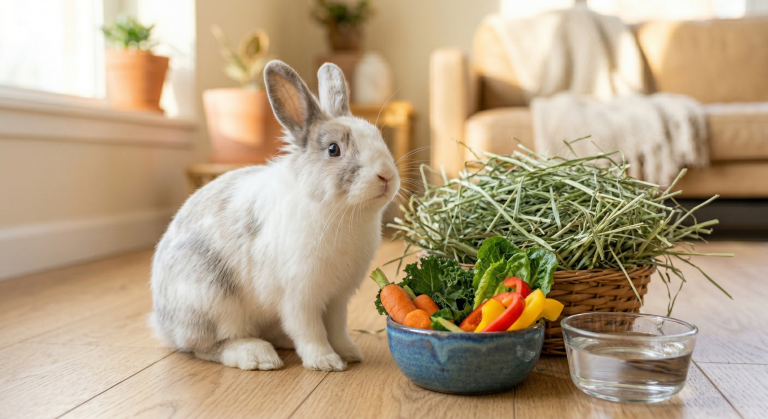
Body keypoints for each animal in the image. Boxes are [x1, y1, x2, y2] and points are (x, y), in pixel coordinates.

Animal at [150, 60, 399, 372]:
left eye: (378, 137)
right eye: (333, 149)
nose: (386, 175)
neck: (338, 210)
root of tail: (162, 324)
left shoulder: (338, 298)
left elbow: (336, 328)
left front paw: (350, 353)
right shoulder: (300, 297)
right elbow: (310, 330)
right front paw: (326, 362)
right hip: (210, 301)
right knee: (208, 347)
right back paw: (258, 355)